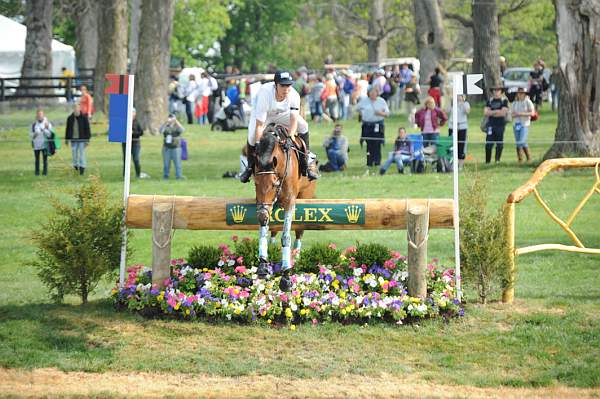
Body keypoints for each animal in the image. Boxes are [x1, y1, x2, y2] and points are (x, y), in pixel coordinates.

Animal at [254, 123, 318, 290]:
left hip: (305, 195)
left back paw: (295, 257)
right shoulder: (263, 204)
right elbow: (264, 229)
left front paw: (286, 276)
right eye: (256, 183)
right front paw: (263, 265)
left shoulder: (289, 201)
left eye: (274, 184)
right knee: (274, 231)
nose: (262, 215)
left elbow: (286, 236)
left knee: (299, 231)